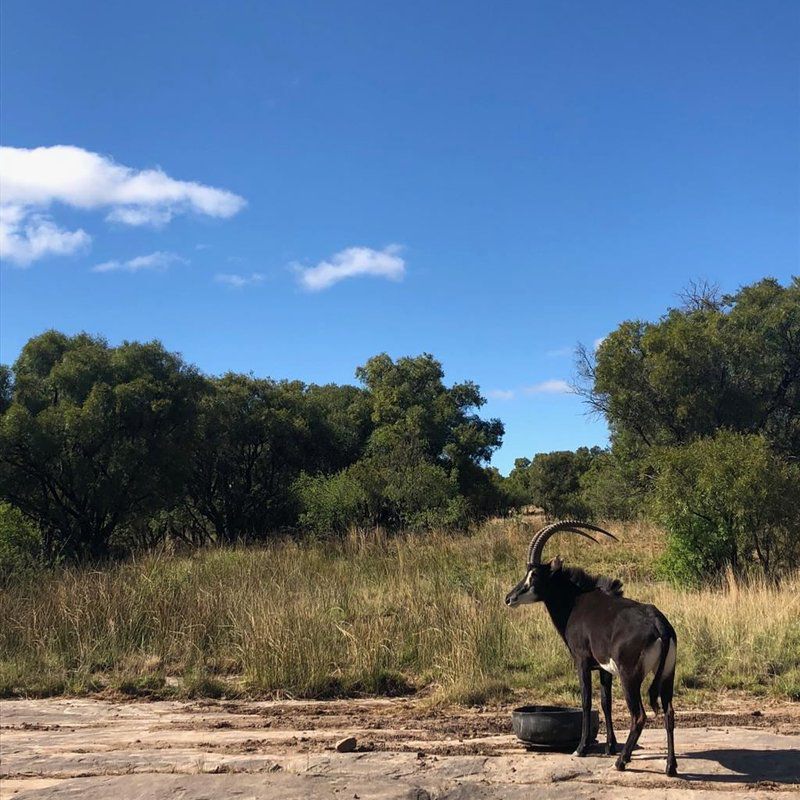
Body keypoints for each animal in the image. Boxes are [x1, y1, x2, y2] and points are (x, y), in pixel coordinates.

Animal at [504, 520, 680, 776]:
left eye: (534, 575)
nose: (509, 598)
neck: (575, 601)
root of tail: (659, 623)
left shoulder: (582, 662)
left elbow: (586, 701)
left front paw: (581, 748)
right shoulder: (605, 669)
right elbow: (606, 703)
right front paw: (609, 747)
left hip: (630, 677)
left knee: (638, 716)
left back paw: (622, 762)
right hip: (667, 675)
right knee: (669, 713)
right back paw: (670, 766)